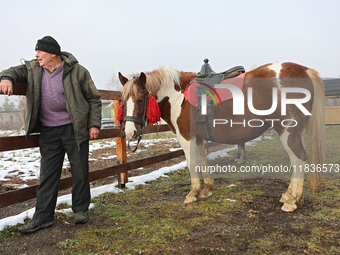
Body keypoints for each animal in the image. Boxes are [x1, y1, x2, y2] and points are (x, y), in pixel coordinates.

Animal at [118, 62, 326, 212]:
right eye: (123, 101)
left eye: (141, 100)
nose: (129, 133)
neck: (178, 95)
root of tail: (303, 70)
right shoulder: (199, 139)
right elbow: (203, 162)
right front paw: (207, 190)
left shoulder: (187, 138)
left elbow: (192, 164)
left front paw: (192, 194)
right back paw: (290, 196)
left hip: (288, 131)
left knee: (298, 160)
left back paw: (292, 201)